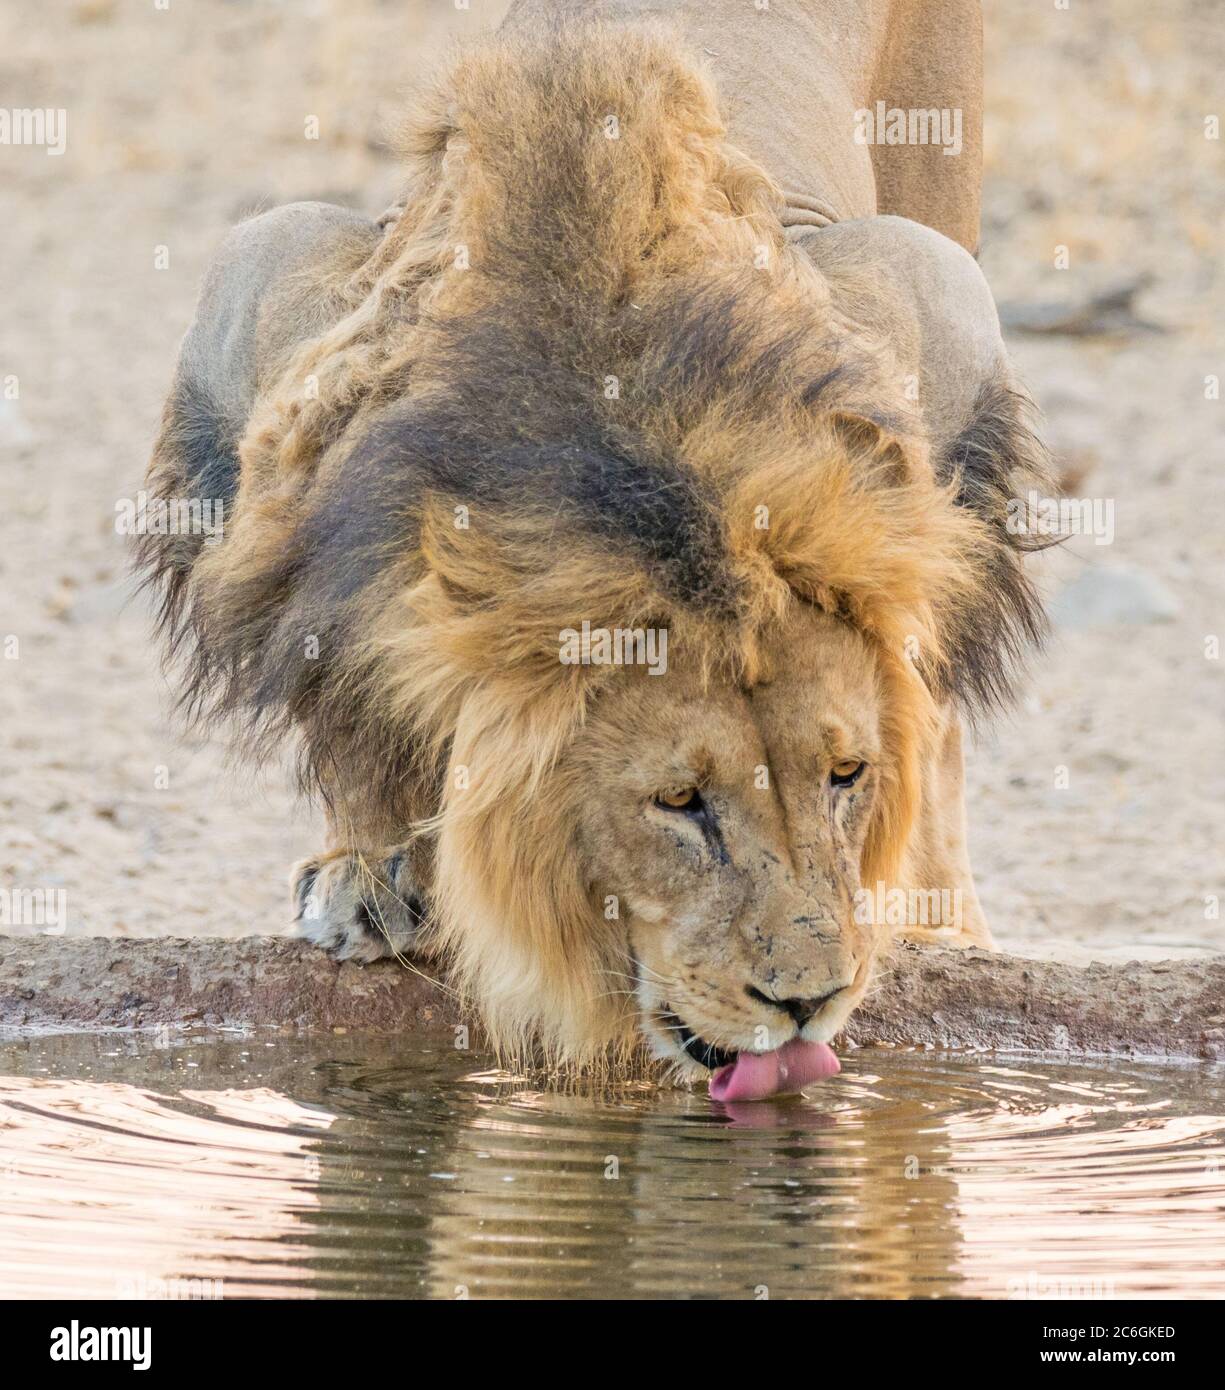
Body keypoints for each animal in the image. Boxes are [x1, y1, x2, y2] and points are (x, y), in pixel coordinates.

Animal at [138, 0, 1045, 1084]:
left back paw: (945, 927)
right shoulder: (268, 304)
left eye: (845, 777)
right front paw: (367, 866)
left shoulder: (923, 299)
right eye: (679, 801)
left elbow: (925, 693)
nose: (809, 1000)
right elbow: (343, 688)